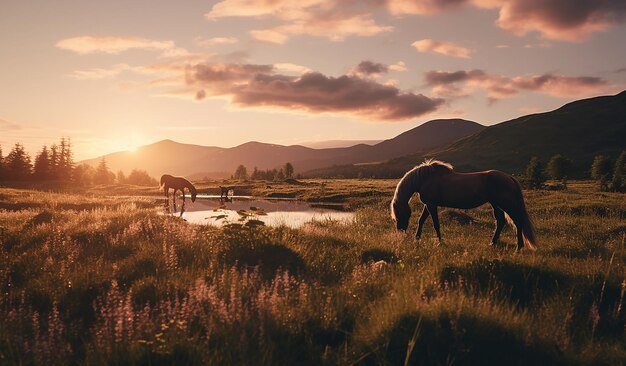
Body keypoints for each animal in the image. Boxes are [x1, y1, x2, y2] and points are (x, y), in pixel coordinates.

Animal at [388, 160, 532, 252]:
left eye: (399, 216)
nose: (400, 231)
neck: (425, 179)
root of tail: (509, 177)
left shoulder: (431, 205)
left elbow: (436, 224)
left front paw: (439, 242)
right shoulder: (428, 204)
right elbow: (421, 220)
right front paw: (417, 238)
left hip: (506, 204)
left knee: (518, 222)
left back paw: (519, 247)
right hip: (496, 205)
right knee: (501, 221)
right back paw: (492, 243)